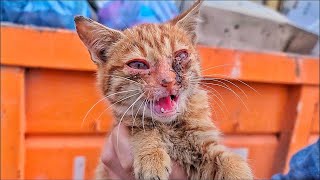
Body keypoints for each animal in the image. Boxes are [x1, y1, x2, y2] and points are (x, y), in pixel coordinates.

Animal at [74, 0, 252, 179]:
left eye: (181, 55)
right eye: (138, 65)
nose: (168, 81)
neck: (171, 127)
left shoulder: (204, 146)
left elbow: (228, 159)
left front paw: (236, 169)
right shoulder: (126, 123)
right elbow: (143, 129)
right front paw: (151, 155)